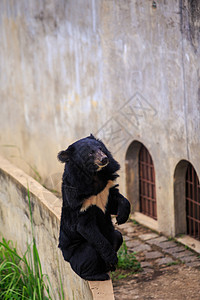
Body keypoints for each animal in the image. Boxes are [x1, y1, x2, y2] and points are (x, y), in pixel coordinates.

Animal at [57, 135, 130, 280]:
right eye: (90, 153)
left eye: (101, 148)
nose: (104, 159)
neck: (94, 175)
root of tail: (66, 258)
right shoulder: (80, 200)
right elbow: (85, 227)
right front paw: (112, 258)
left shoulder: (106, 187)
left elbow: (114, 202)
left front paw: (122, 216)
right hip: (78, 255)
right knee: (88, 254)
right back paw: (99, 275)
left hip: (113, 235)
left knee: (117, 236)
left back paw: (109, 268)